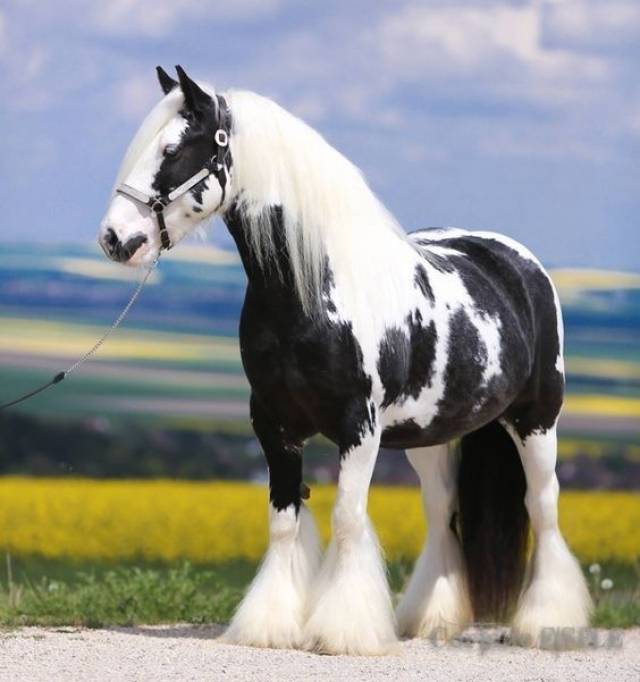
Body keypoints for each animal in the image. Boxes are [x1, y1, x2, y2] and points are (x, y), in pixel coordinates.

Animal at [98, 65, 591, 655]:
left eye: (172, 150)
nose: (115, 239)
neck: (311, 292)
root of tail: (519, 262)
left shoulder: (359, 428)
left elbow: (348, 518)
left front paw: (342, 632)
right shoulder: (274, 425)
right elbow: (284, 521)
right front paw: (269, 626)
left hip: (536, 420)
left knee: (543, 508)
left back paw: (542, 625)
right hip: (428, 435)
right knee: (441, 509)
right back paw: (428, 620)